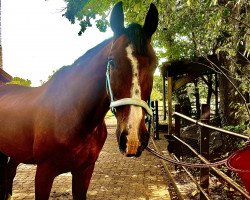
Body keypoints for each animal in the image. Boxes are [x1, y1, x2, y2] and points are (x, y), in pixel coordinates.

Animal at [0, 1, 158, 198]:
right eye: (111, 61)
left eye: (155, 64)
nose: (132, 138)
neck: (73, 114)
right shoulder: (44, 173)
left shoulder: (84, 171)